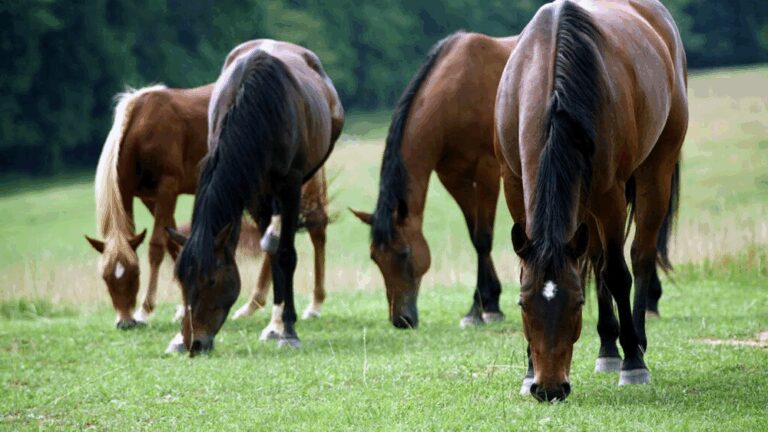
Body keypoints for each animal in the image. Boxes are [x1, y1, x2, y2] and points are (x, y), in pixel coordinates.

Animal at [86, 82, 331, 329]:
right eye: (105, 277)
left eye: (135, 273)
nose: (125, 322)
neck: (141, 127)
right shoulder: (149, 197)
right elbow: (174, 244)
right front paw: (183, 307)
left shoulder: (167, 189)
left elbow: (157, 246)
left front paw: (145, 310)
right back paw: (253, 305)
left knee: (316, 228)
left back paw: (314, 304)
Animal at [166, 39, 343, 355]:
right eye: (181, 280)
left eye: (211, 281)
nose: (194, 342)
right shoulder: (253, 191)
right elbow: (271, 254)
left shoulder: (290, 185)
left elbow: (286, 255)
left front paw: (288, 330)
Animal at [351, 31, 519, 329]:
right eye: (374, 257)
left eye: (404, 253)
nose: (401, 320)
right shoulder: (455, 178)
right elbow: (474, 237)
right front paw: (484, 304)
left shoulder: (486, 171)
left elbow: (483, 237)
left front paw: (484, 309)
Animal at [494, 0, 687, 401]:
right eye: (523, 303)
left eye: (576, 303)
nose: (549, 389)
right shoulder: (514, 184)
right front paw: (528, 370)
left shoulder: (609, 194)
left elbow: (617, 273)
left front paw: (634, 363)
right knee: (596, 259)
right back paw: (608, 348)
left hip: (655, 171)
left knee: (640, 256)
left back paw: (635, 343)